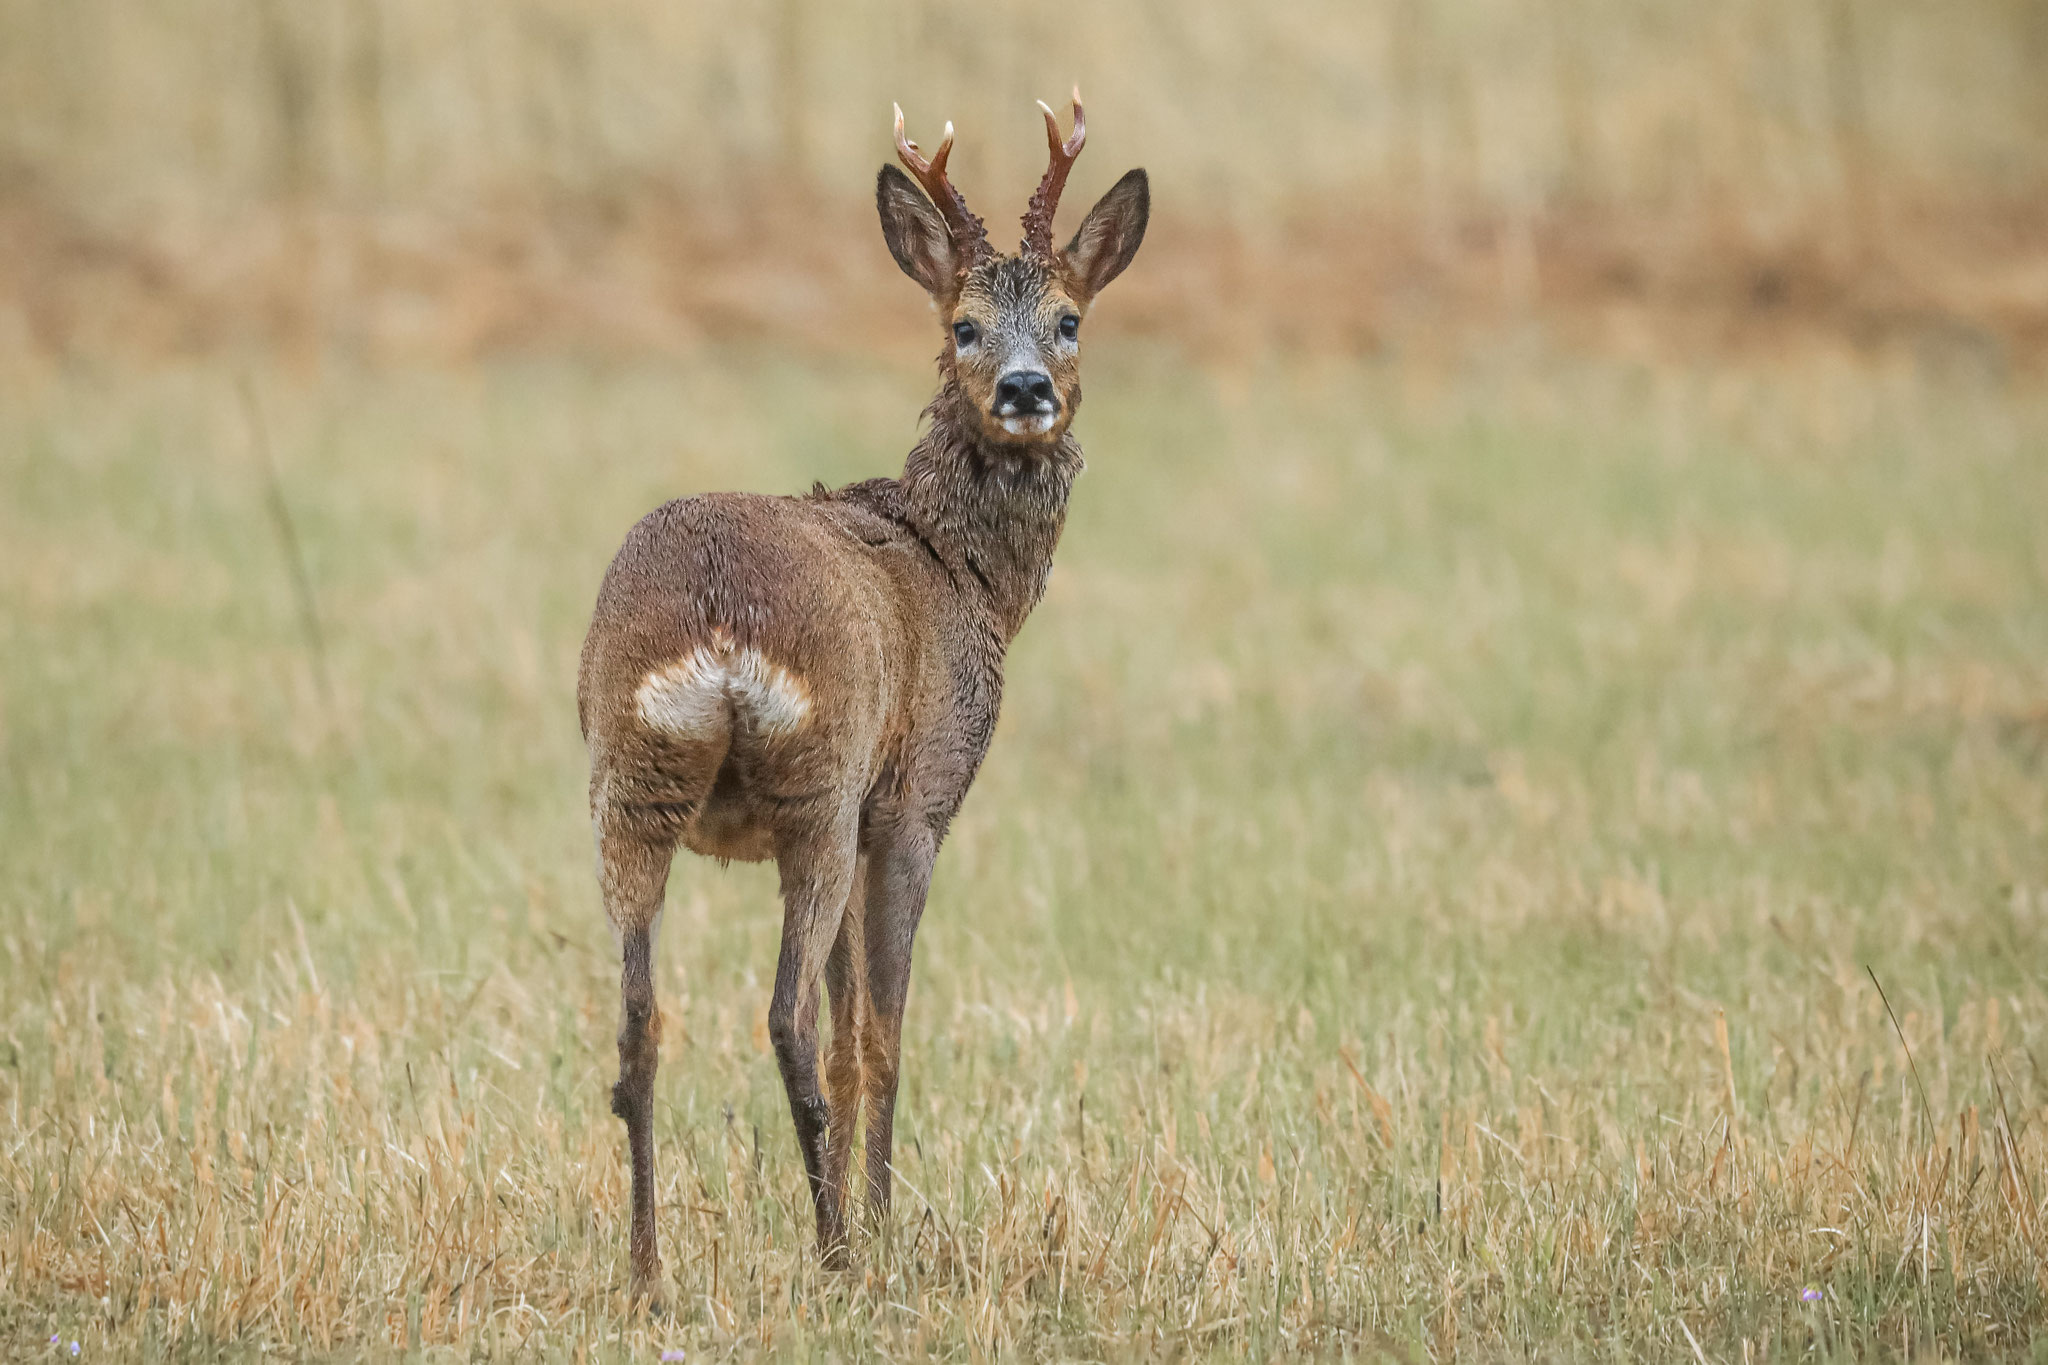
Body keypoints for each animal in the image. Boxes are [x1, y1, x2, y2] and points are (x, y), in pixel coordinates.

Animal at [577, 91, 1147, 1303]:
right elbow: (879, 1028)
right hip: (821, 790)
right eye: (965, 325)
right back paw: (835, 1250)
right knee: (785, 1018)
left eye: (1069, 318)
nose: (1025, 390)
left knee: (639, 1026)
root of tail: (717, 626)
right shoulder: (917, 803)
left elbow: (851, 1032)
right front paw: (886, 1222)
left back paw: (648, 1269)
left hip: (628, 785)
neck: (961, 569)